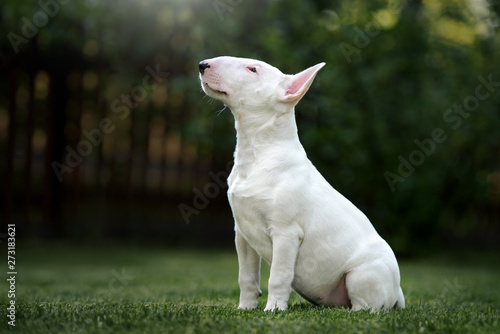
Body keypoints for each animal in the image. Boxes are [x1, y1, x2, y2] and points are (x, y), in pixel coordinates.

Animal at [197, 56, 404, 310]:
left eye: (253, 69)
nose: (202, 64)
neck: (258, 153)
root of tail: (398, 291)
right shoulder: (242, 233)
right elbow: (246, 276)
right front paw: (245, 308)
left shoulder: (286, 233)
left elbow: (278, 276)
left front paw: (273, 309)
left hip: (361, 275)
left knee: (368, 307)